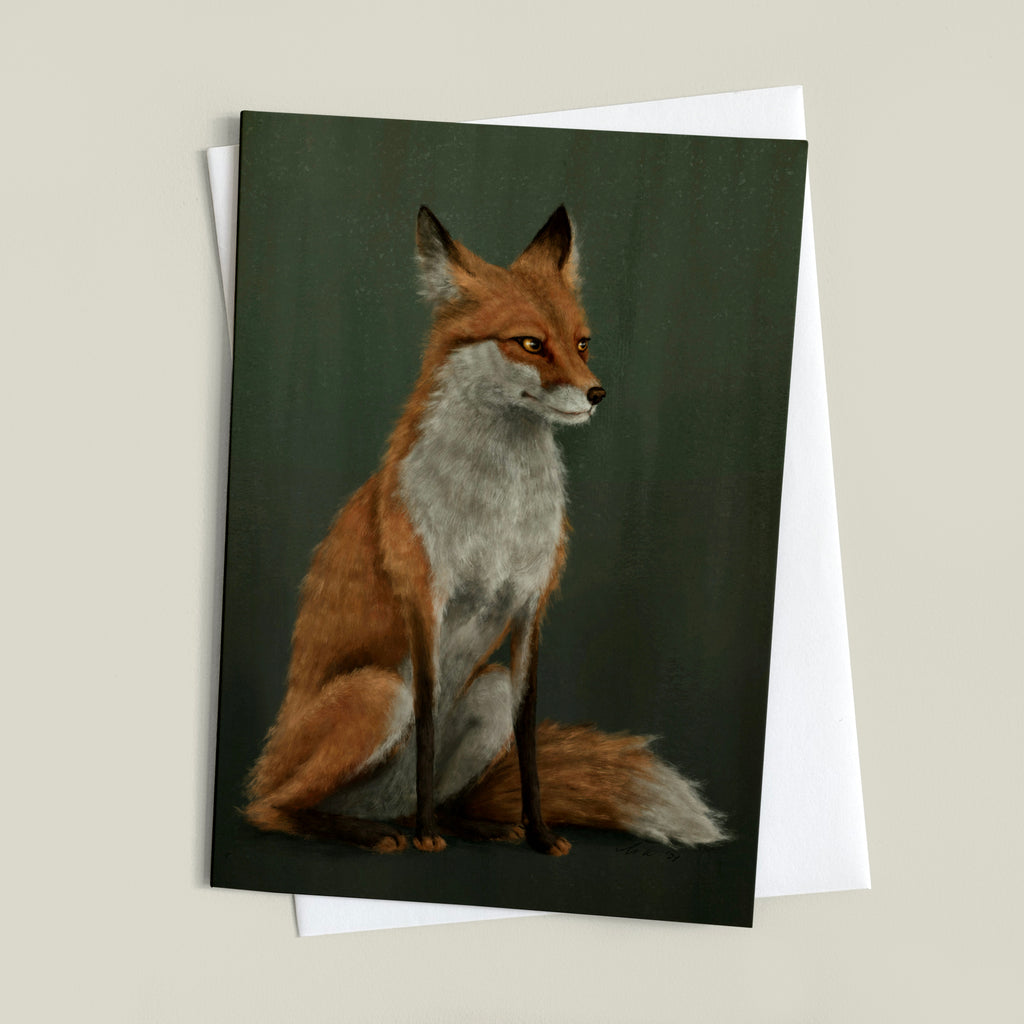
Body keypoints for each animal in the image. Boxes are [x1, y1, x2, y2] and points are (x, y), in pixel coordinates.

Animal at [243, 205, 727, 856]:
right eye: (530, 343)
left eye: (582, 343)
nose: (597, 393)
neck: (498, 509)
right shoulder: (426, 600)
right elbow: (425, 720)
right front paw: (427, 839)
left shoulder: (530, 607)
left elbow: (528, 738)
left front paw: (540, 833)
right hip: (378, 695)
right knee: (272, 808)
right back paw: (381, 832)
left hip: (487, 689)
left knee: (438, 793)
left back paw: (480, 825)